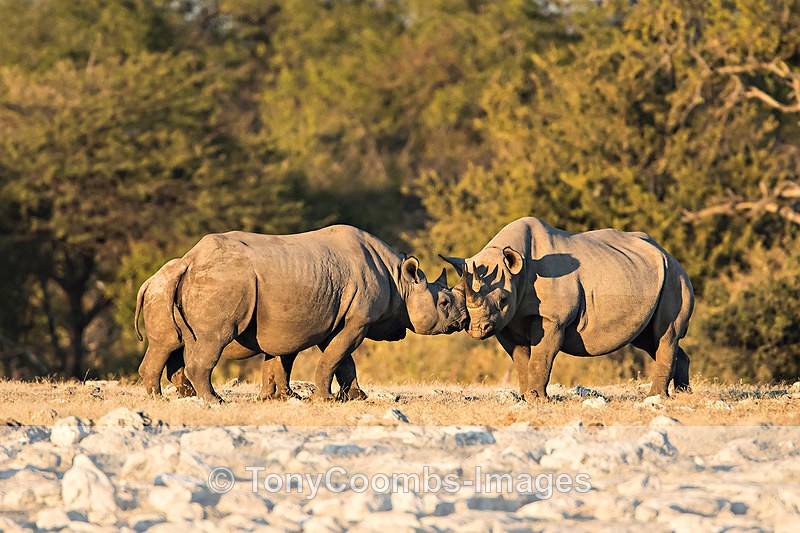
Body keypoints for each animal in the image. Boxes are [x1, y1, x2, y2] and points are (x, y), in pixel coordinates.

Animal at [136, 225, 468, 402]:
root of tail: (189, 260)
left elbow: (330, 360)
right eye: (444, 303)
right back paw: (212, 400)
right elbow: (334, 357)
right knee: (209, 339)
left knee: (173, 343)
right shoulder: (358, 320)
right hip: (221, 281)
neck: (400, 280)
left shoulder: (327, 320)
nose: (463, 321)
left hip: (193, 281)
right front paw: (325, 399)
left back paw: (174, 396)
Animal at [442, 217, 694, 399]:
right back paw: (682, 393)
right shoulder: (505, 322)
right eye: (462, 296)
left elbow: (541, 356)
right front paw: (524, 397)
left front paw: (537, 398)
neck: (517, 272)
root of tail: (669, 254)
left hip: (675, 278)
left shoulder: (553, 319)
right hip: (651, 276)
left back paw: (656, 397)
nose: (478, 329)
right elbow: (521, 359)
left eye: (503, 299)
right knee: (650, 338)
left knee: (665, 334)